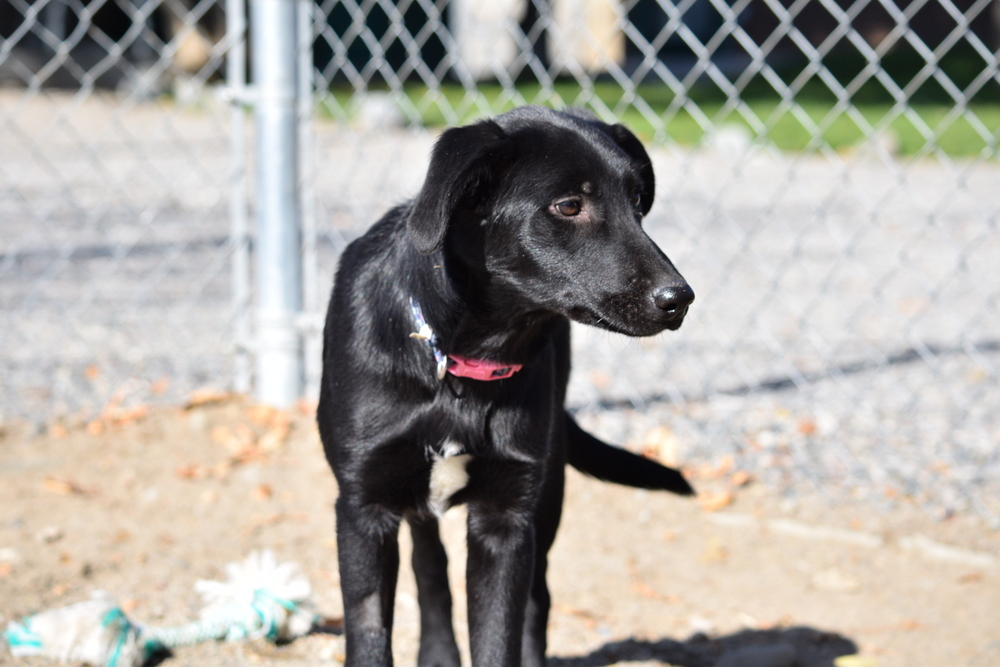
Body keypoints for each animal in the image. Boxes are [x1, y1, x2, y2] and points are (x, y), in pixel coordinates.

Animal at [318, 105, 696, 667]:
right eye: (569, 206)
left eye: (636, 202)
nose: (679, 299)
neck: (462, 365)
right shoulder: (364, 509)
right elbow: (369, 634)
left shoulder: (506, 520)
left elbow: (501, 635)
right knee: (430, 564)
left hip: (548, 489)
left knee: (538, 598)